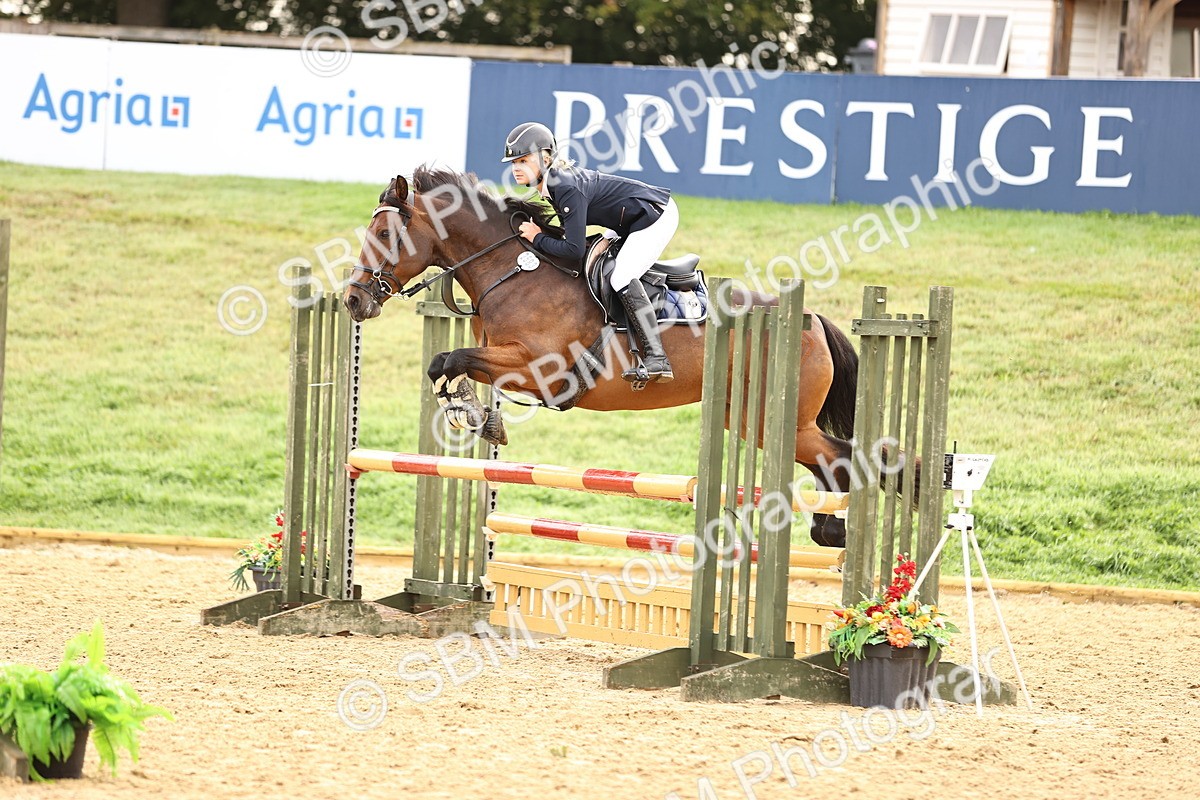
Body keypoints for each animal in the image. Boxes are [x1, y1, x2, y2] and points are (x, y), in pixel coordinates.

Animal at [343, 166, 862, 546]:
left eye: (385, 232)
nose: (352, 300)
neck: (512, 270)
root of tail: (811, 320)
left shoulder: (540, 370)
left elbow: (452, 359)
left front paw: (470, 411)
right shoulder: (502, 357)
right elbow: (447, 362)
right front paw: (475, 413)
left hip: (779, 420)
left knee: (842, 458)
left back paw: (838, 532)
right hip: (753, 419)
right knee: (829, 463)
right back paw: (829, 529)